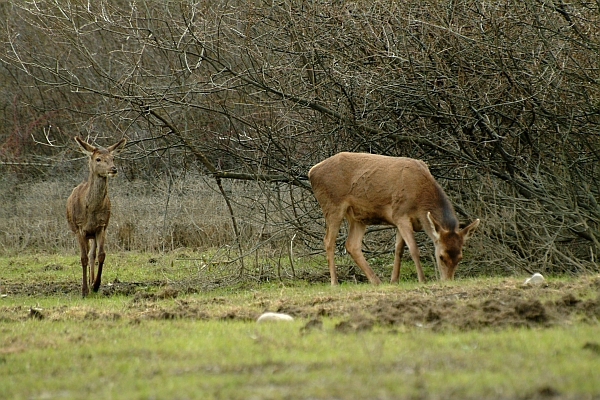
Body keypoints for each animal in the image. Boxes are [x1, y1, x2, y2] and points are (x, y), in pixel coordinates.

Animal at [66, 138, 126, 296]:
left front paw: (96, 285)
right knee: (87, 254)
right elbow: (83, 258)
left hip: (93, 234)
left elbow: (101, 255)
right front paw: (84, 290)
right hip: (81, 232)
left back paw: (92, 281)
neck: (91, 210)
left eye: (113, 158)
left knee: (92, 254)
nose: (113, 169)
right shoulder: (80, 228)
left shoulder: (101, 226)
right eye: (98, 159)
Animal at [308, 152, 480, 286]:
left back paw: (376, 281)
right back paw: (334, 282)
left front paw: (394, 280)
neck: (420, 199)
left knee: (352, 244)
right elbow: (413, 249)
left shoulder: (399, 220)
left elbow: (399, 249)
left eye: (460, 257)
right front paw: (422, 279)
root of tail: (311, 171)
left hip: (358, 217)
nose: (447, 280)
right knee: (328, 241)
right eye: (441, 256)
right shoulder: (400, 214)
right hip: (332, 205)